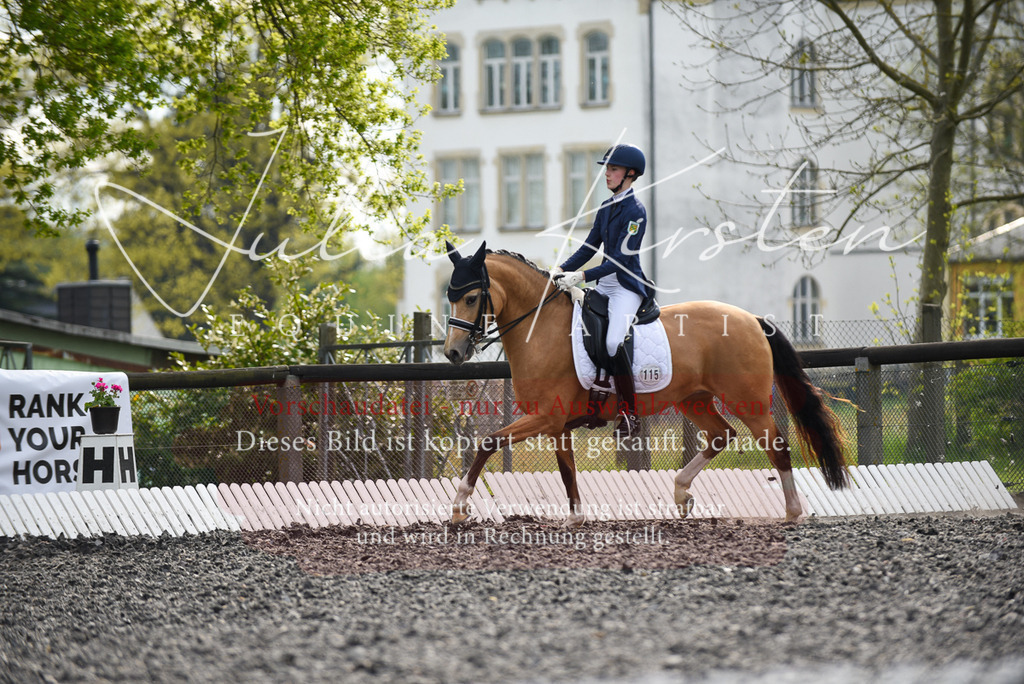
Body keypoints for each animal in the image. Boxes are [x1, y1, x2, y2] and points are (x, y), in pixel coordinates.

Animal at [442, 241, 848, 526]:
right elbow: (566, 469)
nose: (453, 353)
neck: (541, 327)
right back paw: (682, 494)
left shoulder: (545, 418)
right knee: (722, 435)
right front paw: (575, 518)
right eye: (450, 296)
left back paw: (792, 511)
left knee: (776, 447)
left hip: (748, 401)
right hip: (694, 398)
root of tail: (751, 318)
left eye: (472, 297)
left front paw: (460, 505)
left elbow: (488, 443)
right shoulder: (557, 424)